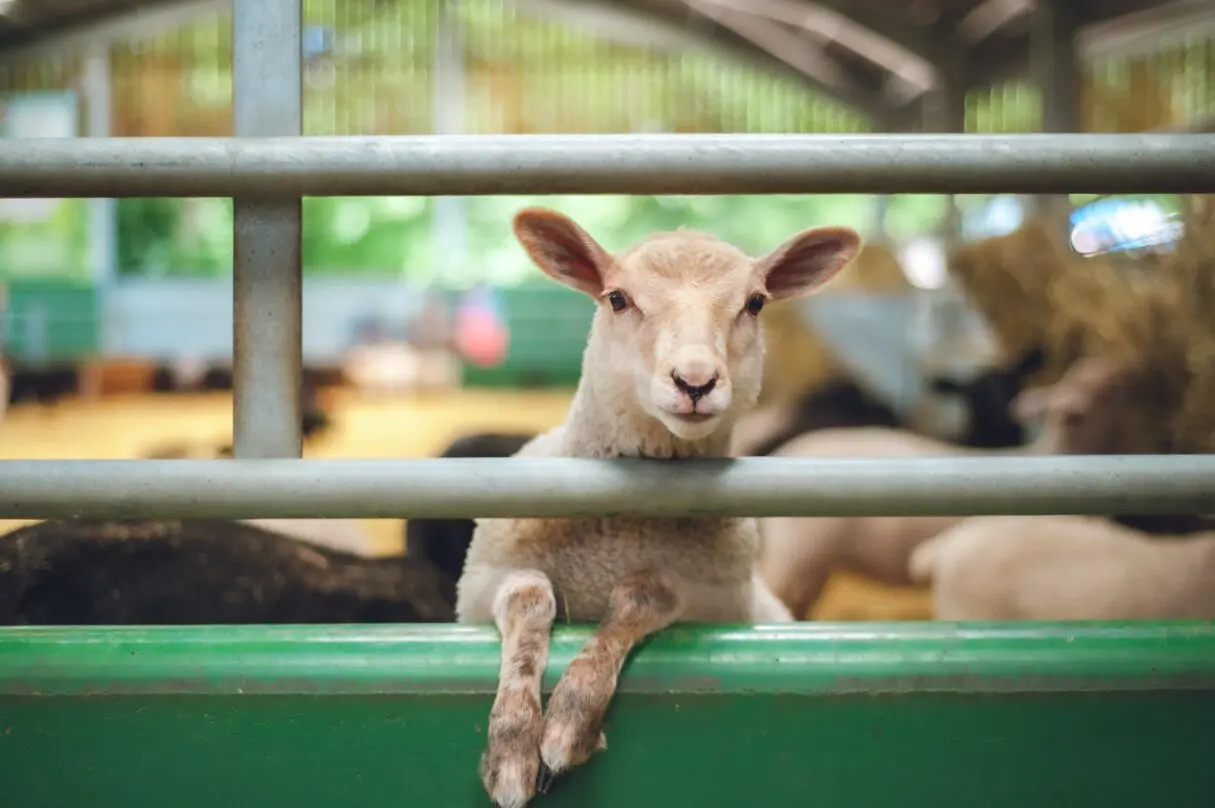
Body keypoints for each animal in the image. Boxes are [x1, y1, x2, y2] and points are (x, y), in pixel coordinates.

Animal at [456, 205, 865, 801]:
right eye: (617, 298)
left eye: (755, 302)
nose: (695, 382)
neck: (620, 533)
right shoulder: (481, 581)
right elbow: (529, 599)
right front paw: (512, 747)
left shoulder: (714, 600)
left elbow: (642, 597)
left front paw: (568, 726)